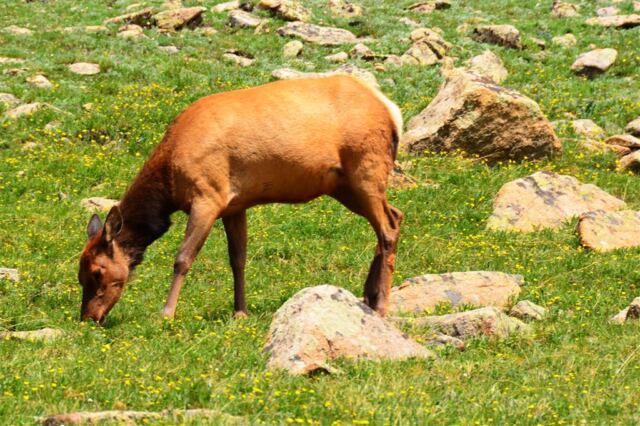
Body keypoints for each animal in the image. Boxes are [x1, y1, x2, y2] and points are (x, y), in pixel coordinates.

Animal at [78, 75, 404, 324]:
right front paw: (240, 312)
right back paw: (368, 294)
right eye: (79, 273)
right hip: (344, 185)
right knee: (395, 216)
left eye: (97, 272)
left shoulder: (207, 196)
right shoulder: (234, 205)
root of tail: (391, 110)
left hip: (366, 169)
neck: (169, 182)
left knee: (387, 228)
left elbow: (183, 258)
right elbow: (238, 259)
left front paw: (166, 314)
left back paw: (381, 306)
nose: (88, 318)